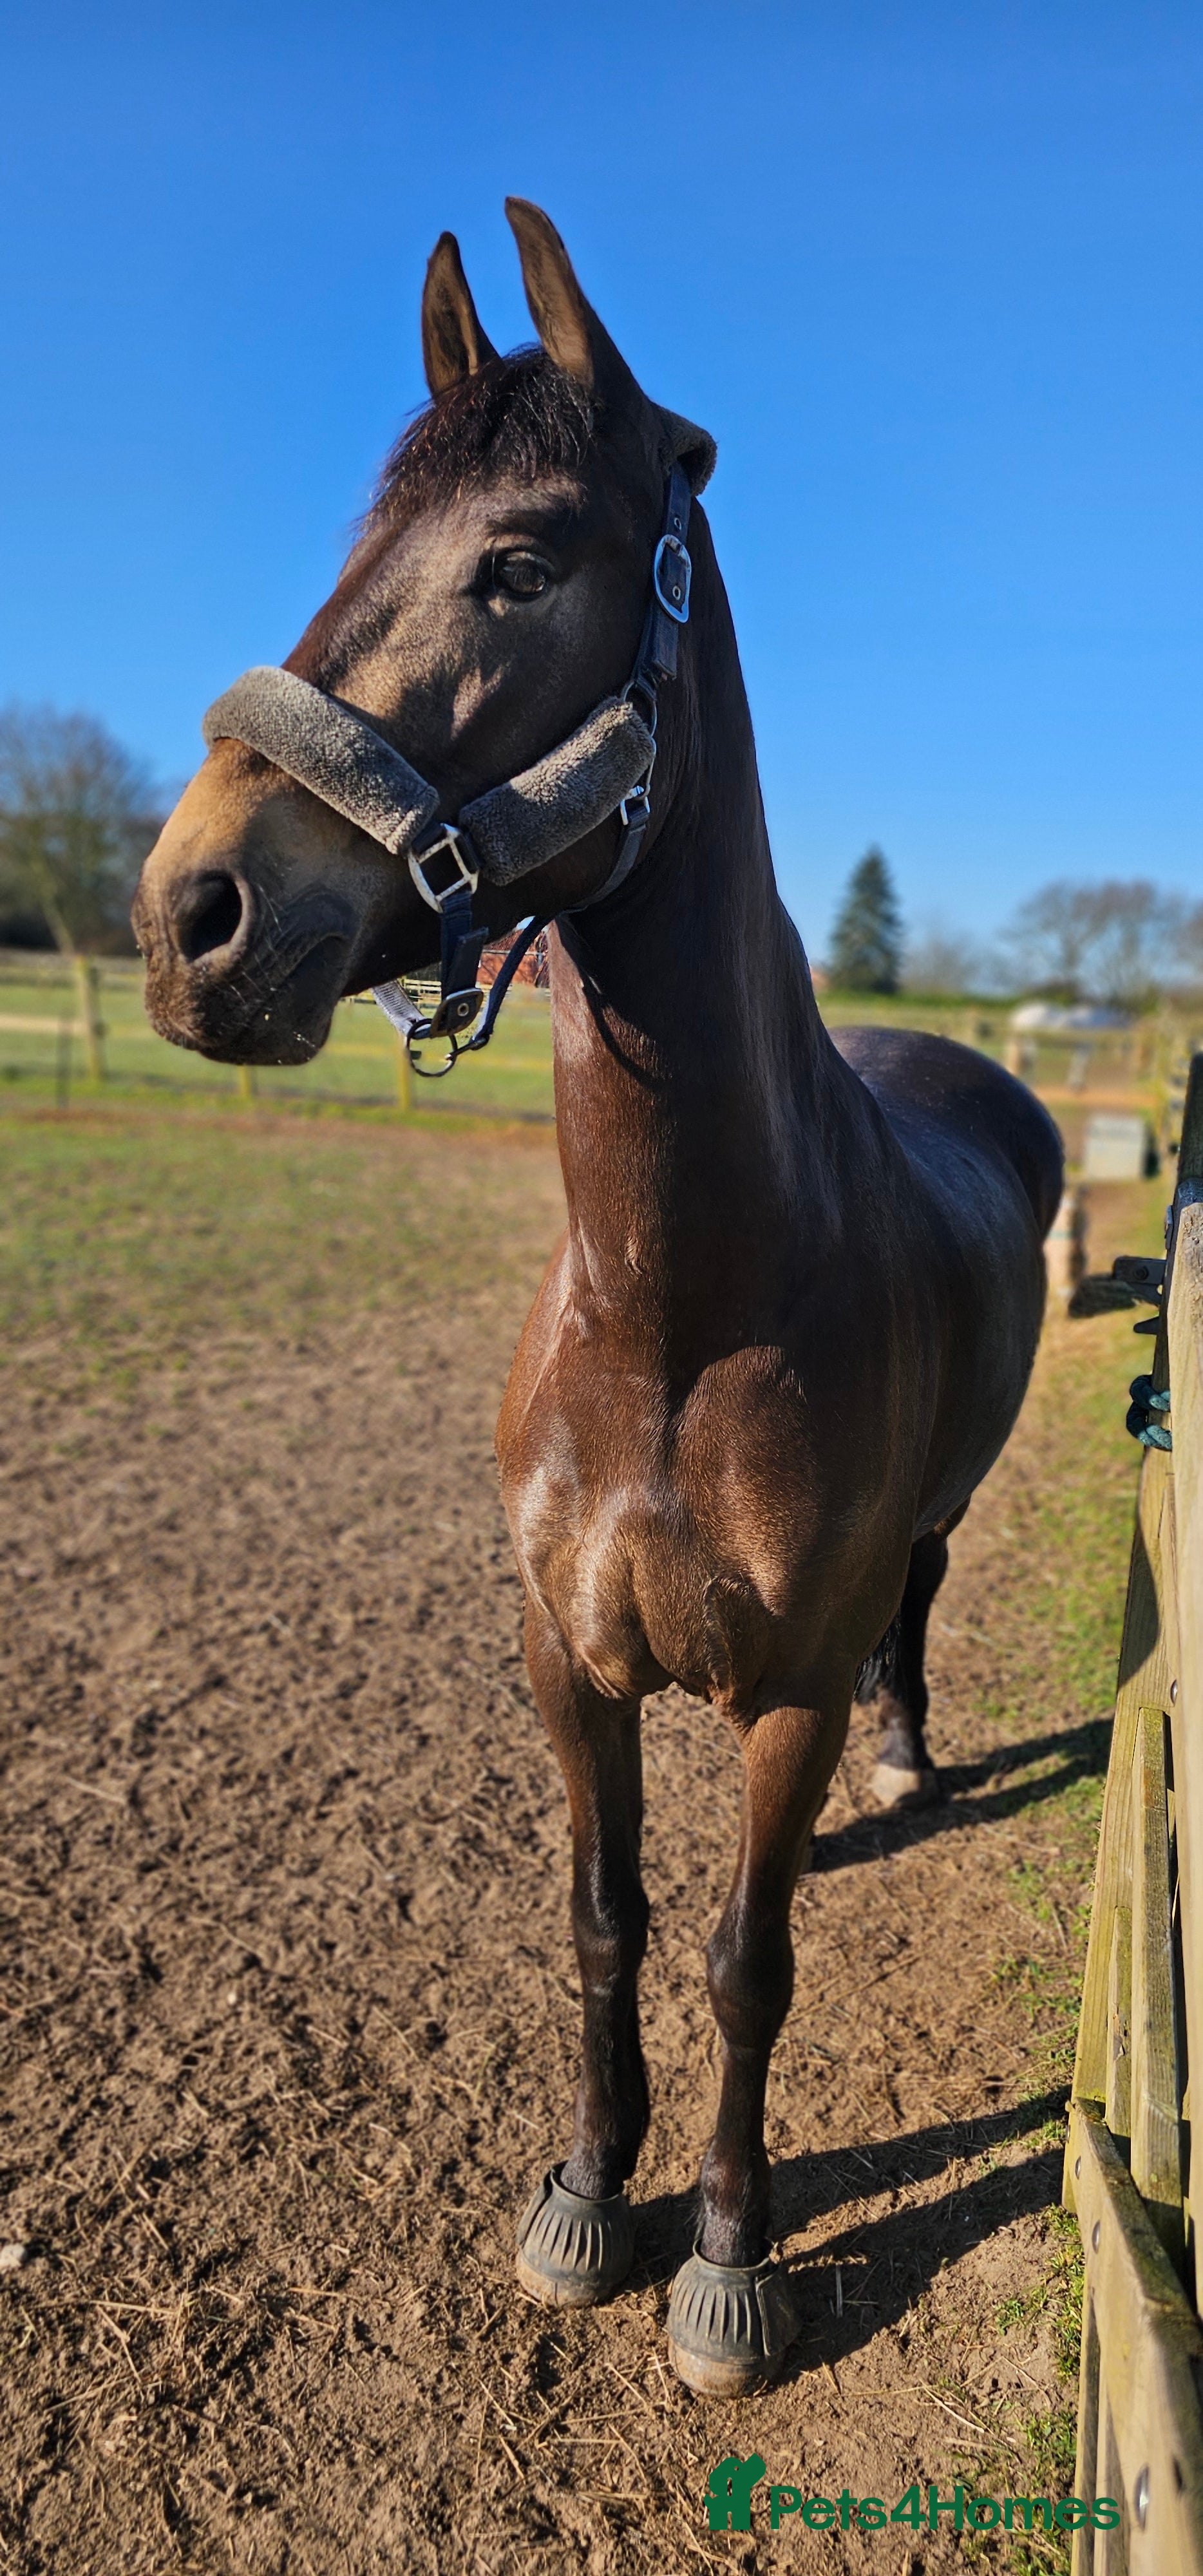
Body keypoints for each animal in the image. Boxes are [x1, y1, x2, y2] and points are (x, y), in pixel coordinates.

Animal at [133, 201, 1062, 2396]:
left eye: (521, 561)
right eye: (356, 541)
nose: (190, 910)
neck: (679, 1316)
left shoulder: (778, 1681)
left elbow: (744, 1953)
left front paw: (723, 2248)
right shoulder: (567, 1660)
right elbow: (605, 1922)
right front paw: (587, 2191)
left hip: (919, 1532)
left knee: (912, 1605)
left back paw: (905, 1757)